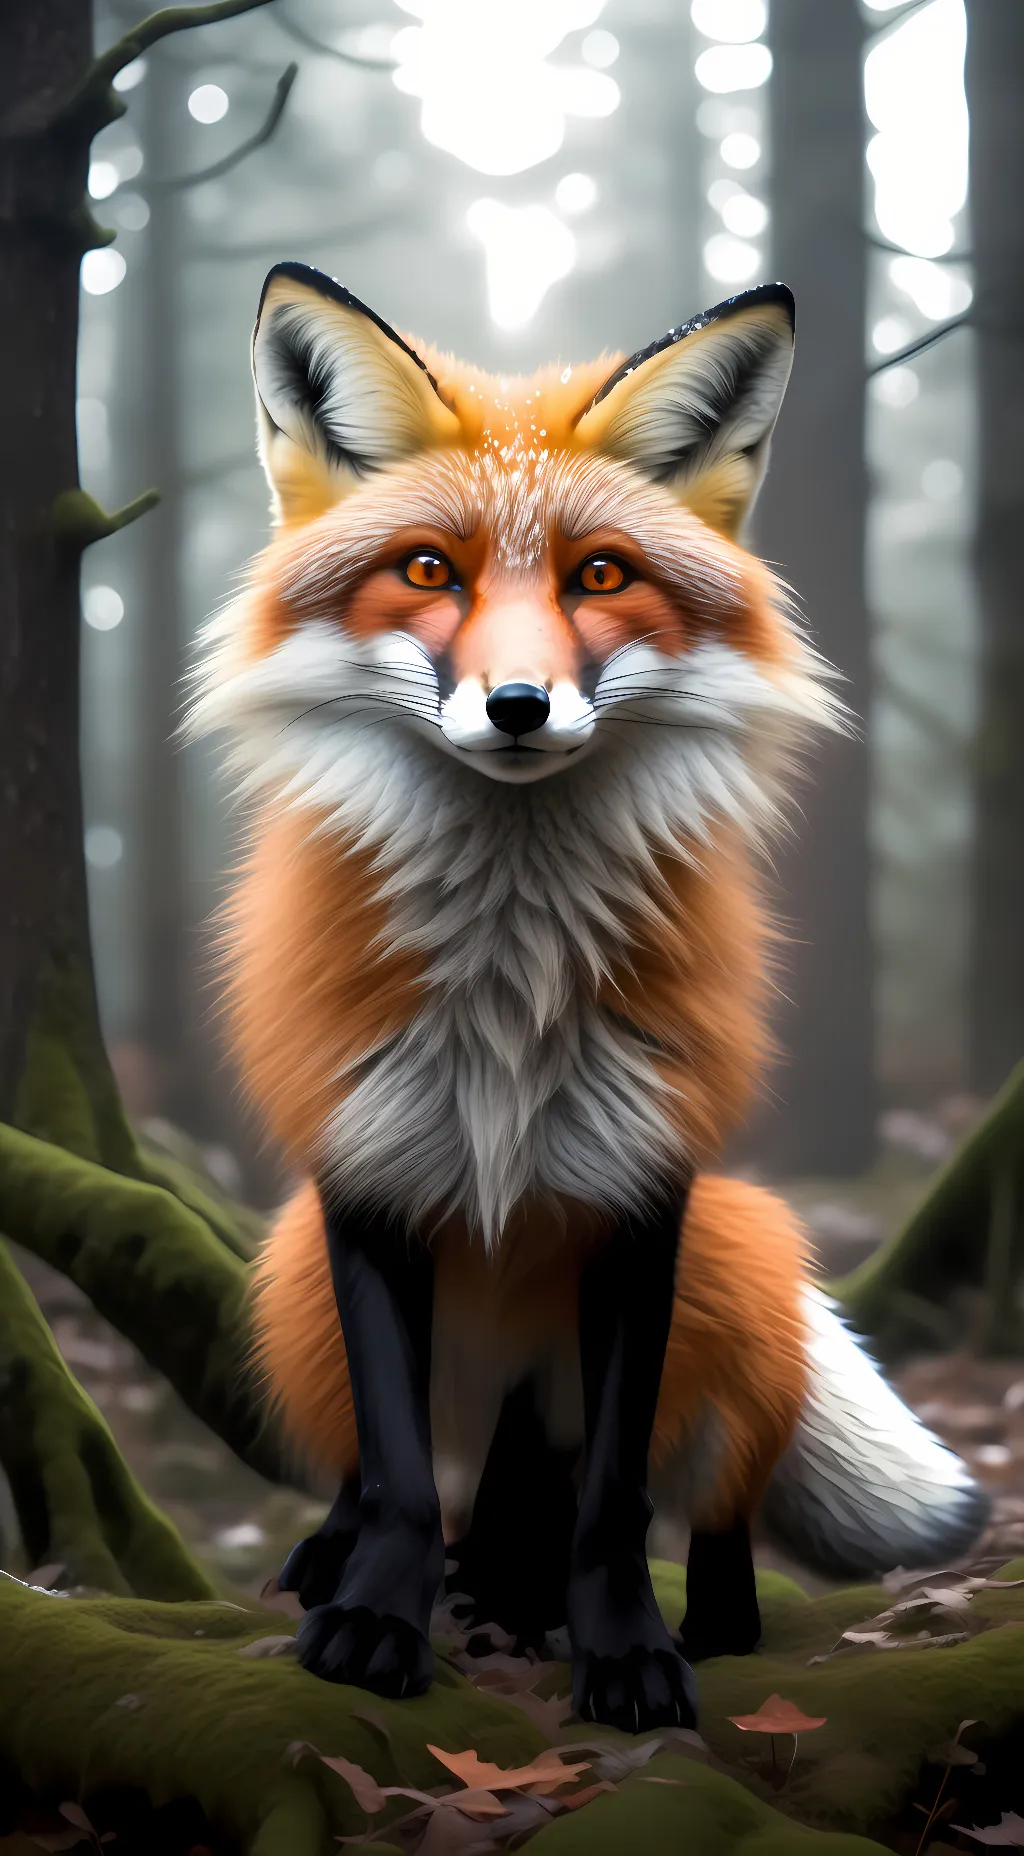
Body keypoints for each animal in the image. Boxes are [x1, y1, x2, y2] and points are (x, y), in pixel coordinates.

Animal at [190, 261, 989, 1733]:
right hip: (286, 1274)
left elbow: (612, 1499)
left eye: (599, 575)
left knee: (695, 1497)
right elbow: (398, 1469)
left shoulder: (641, 1188)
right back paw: (385, 1571)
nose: (518, 704)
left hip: (742, 1257)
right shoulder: (367, 1171)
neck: (508, 999)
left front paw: (623, 1651)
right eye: (429, 571)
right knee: (404, 1475)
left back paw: (670, 1616)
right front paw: (374, 1622)